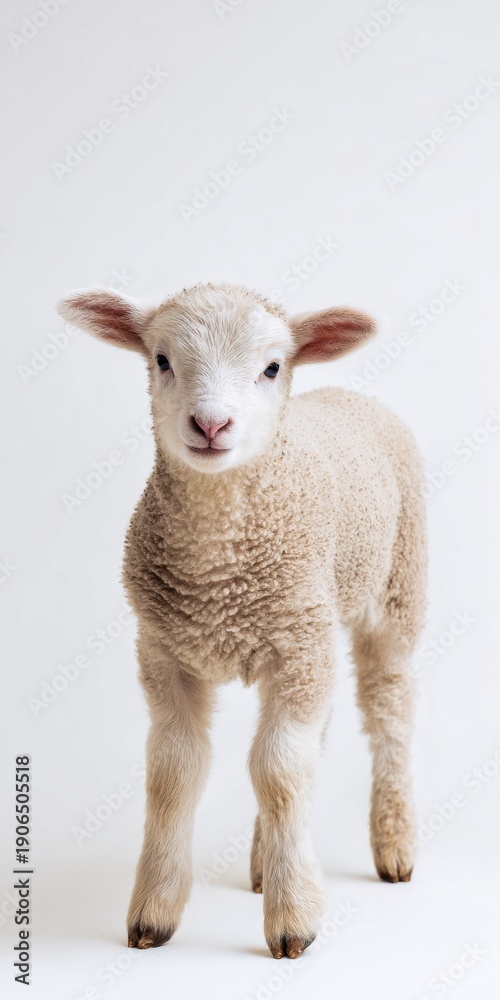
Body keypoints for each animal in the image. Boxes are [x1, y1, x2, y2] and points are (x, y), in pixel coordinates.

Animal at [58, 282, 427, 960]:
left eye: (272, 367)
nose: (211, 424)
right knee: (314, 737)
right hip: (314, 630)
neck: (218, 574)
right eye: (162, 359)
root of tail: (347, 393)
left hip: (394, 591)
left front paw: (294, 918)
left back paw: (394, 846)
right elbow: (175, 771)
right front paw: (154, 913)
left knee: (388, 712)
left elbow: (278, 769)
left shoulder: (297, 644)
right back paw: (264, 861)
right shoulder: (165, 652)